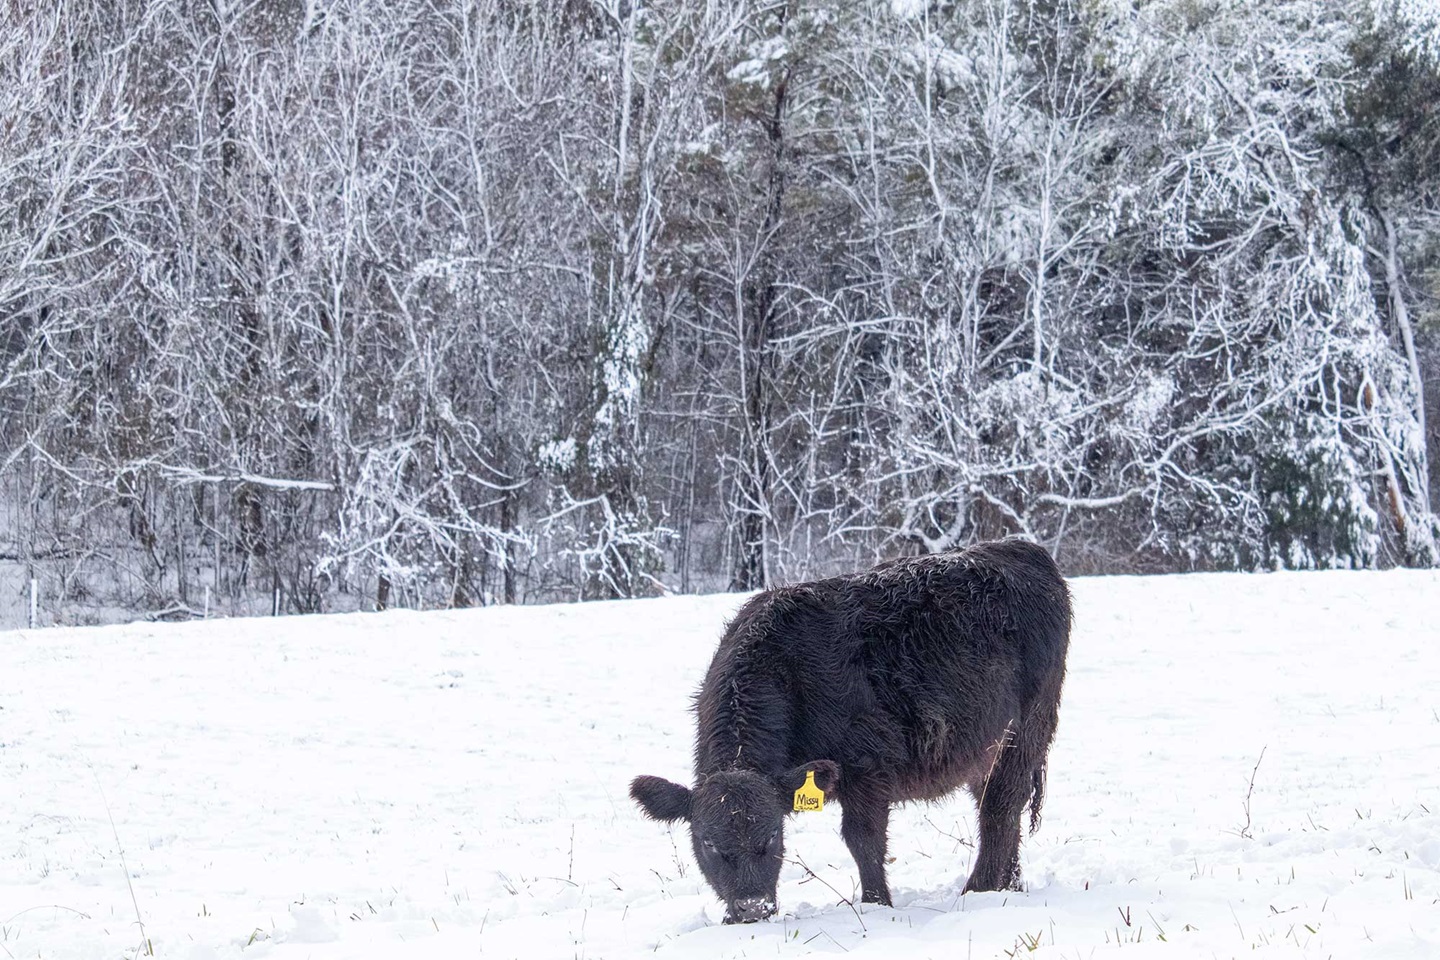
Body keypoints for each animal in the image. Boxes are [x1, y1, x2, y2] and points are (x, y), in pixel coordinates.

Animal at [630, 541, 1071, 921]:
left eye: (772, 836)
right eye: (707, 842)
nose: (753, 909)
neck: (783, 670)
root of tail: (1017, 547)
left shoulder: (867, 765)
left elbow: (863, 840)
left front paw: (877, 905)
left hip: (1027, 731)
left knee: (1001, 809)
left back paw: (977, 891)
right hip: (986, 747)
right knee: (996, 808)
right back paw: (1008, 886)